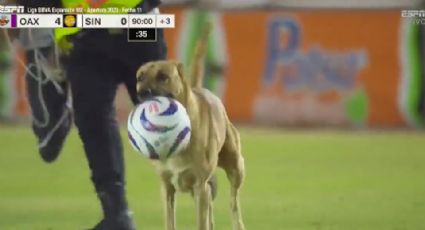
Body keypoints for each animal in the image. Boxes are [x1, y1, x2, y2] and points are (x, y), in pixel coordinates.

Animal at [136, 25, 245, 230]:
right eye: (140, 77)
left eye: (163, 76)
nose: (142, 93)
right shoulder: (168, 188)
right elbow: (170, 221)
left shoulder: (200, 186)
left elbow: (203, 221)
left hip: (236, 168)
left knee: (233, 202)